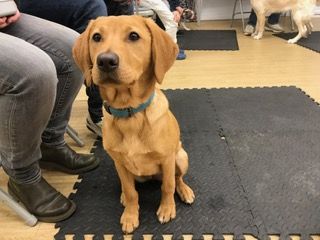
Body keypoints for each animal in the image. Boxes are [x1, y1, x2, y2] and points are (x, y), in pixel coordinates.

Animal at [73, 15, 195, 233]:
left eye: (133, 36)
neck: (129, 113)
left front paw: (167, 209)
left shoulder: (167, 159)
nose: (105, 61)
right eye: (96, 37)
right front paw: (130, 215)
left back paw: (185, 190)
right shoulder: (120, 164)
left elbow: (168, 186)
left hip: (180, 157)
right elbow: (131, 192)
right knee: (128, 186)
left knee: (176, 178)